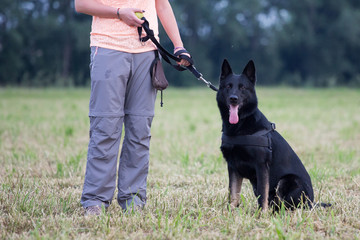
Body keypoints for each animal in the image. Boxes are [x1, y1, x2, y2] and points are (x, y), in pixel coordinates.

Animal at [217, 59, 316, 210]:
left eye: (242, 87)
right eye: (228, 86)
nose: (233, 98)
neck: (240, 127)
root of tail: (312, 203)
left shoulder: (261, 166)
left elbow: (262, 194)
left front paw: (261, 214)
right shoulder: (233, 167)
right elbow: (233, 194)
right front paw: (230, 212)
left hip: (287, 180)